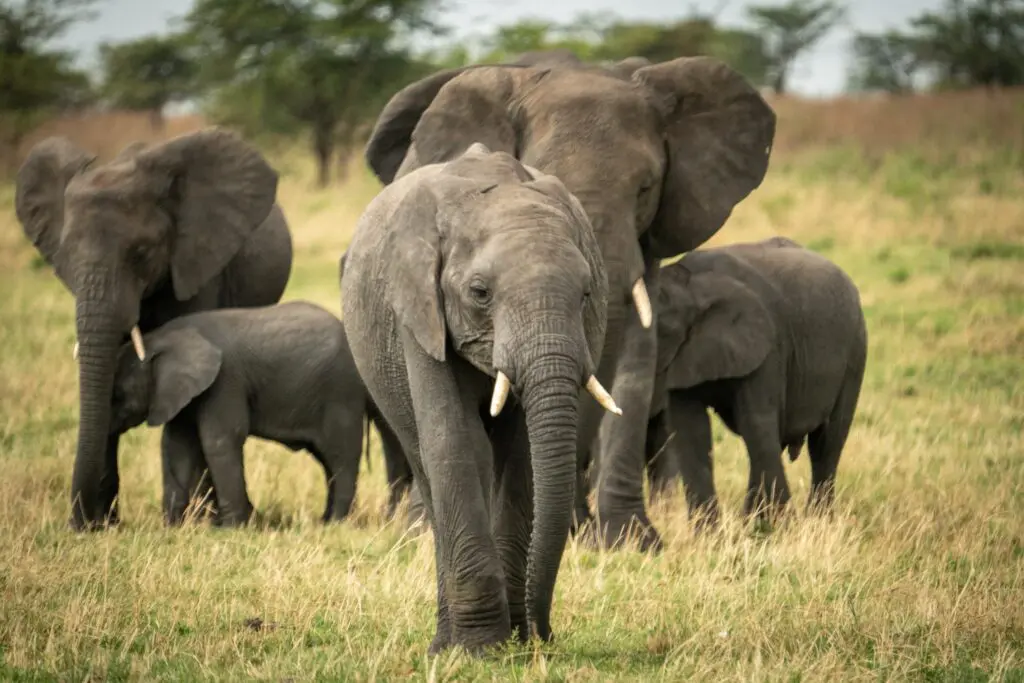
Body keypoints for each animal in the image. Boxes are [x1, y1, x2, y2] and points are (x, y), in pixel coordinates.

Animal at [15, 128, 294, 531]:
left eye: (142, 253)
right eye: (65, 256)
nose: (79, 523)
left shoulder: (197, 261)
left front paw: (199, 521)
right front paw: (103, 526)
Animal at [107, 300, 408, 526]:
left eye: (118, 395)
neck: (164, 338)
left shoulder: (225, 381)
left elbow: (220, 440)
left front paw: (232, 528)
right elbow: (177, 447)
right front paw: (174, 527)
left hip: (340, 391)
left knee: (340, 456)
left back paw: (336, 524)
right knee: (327, 460)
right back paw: (325, 521)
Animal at [341, 143, 615, 653]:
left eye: (587, 293)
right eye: (480, 292)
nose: (543, 634)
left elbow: (522, 456)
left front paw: (511, 642)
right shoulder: (418, 310)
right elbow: (455, 442)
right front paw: (480, 650)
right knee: (430, 466)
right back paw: (444, 644)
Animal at [632, 236, 867, 529]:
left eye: (655, 335)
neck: (691, 287)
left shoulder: (768, 346)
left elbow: (755, 421)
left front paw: (776, 528)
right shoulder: (681, 355)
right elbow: (691, 430)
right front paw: (710, 533)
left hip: (855, 351)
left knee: (826, 443)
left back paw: (816, 522)